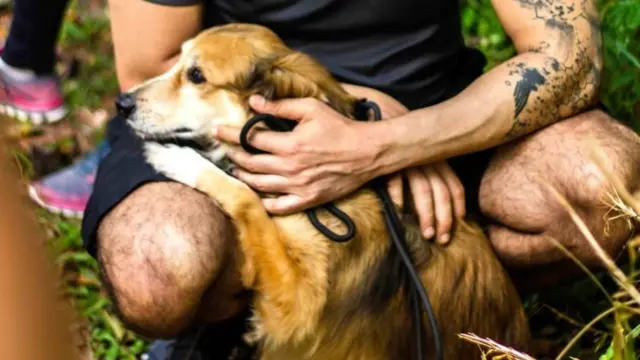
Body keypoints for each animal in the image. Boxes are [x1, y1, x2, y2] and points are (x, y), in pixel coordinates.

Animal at [125, 23, 528, 360]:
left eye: (196, 75)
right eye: (178, 61)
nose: (121, 103)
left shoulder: (294, 307)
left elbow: (245, 197)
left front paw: (178, 158)